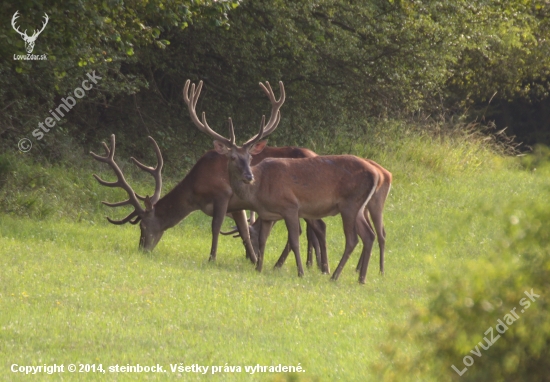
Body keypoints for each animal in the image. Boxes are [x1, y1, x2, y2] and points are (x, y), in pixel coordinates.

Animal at [185, 79, 384, 284]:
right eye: (233, 157)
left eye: (249, 157)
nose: (249, 177)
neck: (259, 191)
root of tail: (377, 174)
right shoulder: (267, 215)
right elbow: (263, 240)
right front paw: (258, 268)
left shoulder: (290, 206)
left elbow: (295, 240)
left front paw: (300, 272)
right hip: (359, 206)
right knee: (369, 235)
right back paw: (361, 278)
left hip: (349, 203)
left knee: (352, 239)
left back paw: (334, 275)